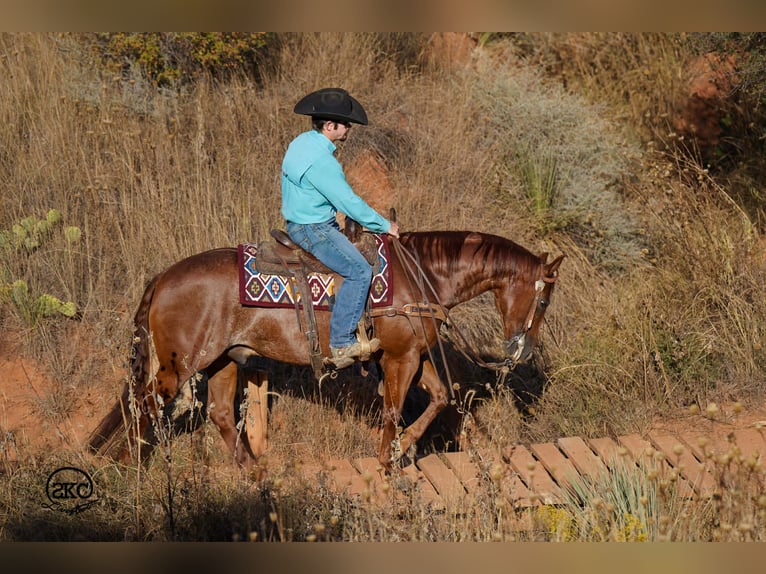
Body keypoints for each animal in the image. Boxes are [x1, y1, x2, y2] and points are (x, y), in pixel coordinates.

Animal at [89, 228, 563, 473]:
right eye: (543, 301)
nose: (522, 351)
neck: (422, 275)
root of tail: (163, 277)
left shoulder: (415, 354)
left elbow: (440, 397)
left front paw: (402, 448)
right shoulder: (401, 358)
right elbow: (393, 410)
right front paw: (387, 460)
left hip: (224, 358)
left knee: (220, 413)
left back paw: (254, 472)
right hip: (181, 364)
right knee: (144, 403)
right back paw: (128, 465)